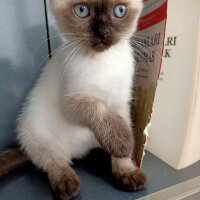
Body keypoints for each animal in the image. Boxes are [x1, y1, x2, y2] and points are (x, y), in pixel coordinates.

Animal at [0, 0, 147, 199]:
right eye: (82, 11)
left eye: (120, 10)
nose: (103, 32)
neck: (103, 60)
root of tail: (72, 151)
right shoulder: (73, 102)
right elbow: (99, 109)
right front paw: (123, 143)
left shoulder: (121, 104)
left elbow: (122, 147)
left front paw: (126, 172)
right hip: (37, 130)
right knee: (55, 160)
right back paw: (66, 184)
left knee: (82, 154)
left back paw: (101, 157)